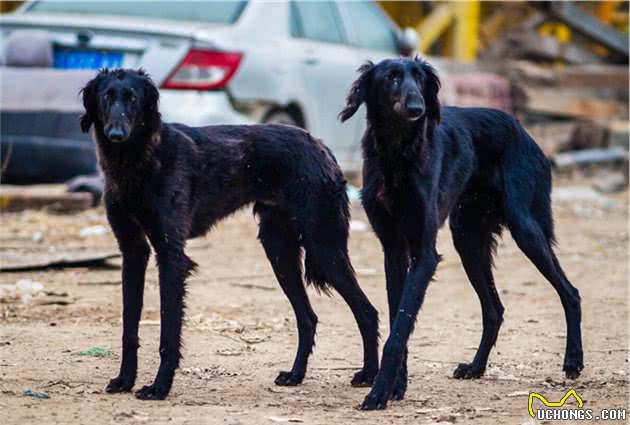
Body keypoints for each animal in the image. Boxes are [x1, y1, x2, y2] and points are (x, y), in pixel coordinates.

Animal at [78, 68, 380, 398]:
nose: (116, 134)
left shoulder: (171, 255)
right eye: (106, 97)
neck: (135, 161)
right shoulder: (133, 251)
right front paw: (125, 380)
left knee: (367, 311)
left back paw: (370, 375)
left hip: (323, 246)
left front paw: (159, 387)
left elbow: (168, 332)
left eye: (133, 98)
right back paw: (296, 375)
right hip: (280, 251)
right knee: (308, 318)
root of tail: (321, 145)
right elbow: (129, 327)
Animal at [344, 58, 584, 410]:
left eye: (420, 78)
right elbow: (398, 320)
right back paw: (476, 367)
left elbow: (400, 329)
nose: (417, 108)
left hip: (525, 228)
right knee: (494, 310)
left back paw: (573, 361)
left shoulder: (424, 253)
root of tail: (522, 128)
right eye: (392, 78)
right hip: (468, 239)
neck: (398, 152)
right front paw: (395, 387)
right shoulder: (393, 249)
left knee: (570, 292)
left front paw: (379, 393)